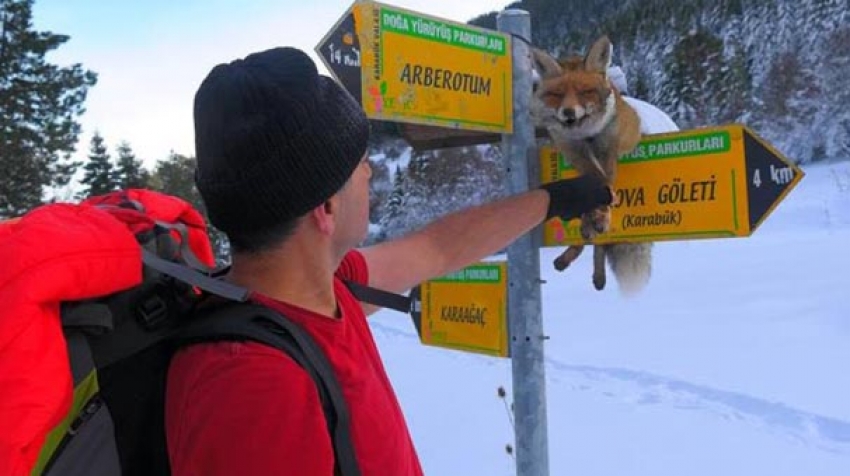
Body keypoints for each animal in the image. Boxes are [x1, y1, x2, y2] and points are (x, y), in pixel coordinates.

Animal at [528, 34, 648, 294]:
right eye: (558, 94)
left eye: (585, 92)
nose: (568, 112)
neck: (587, 136)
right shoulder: (574, 152)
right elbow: (594, 183)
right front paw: (594, 215)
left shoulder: (607, 149)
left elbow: (605, 184)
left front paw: (602, 216)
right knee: (587, 237)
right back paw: (572, 253)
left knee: (598, 243)